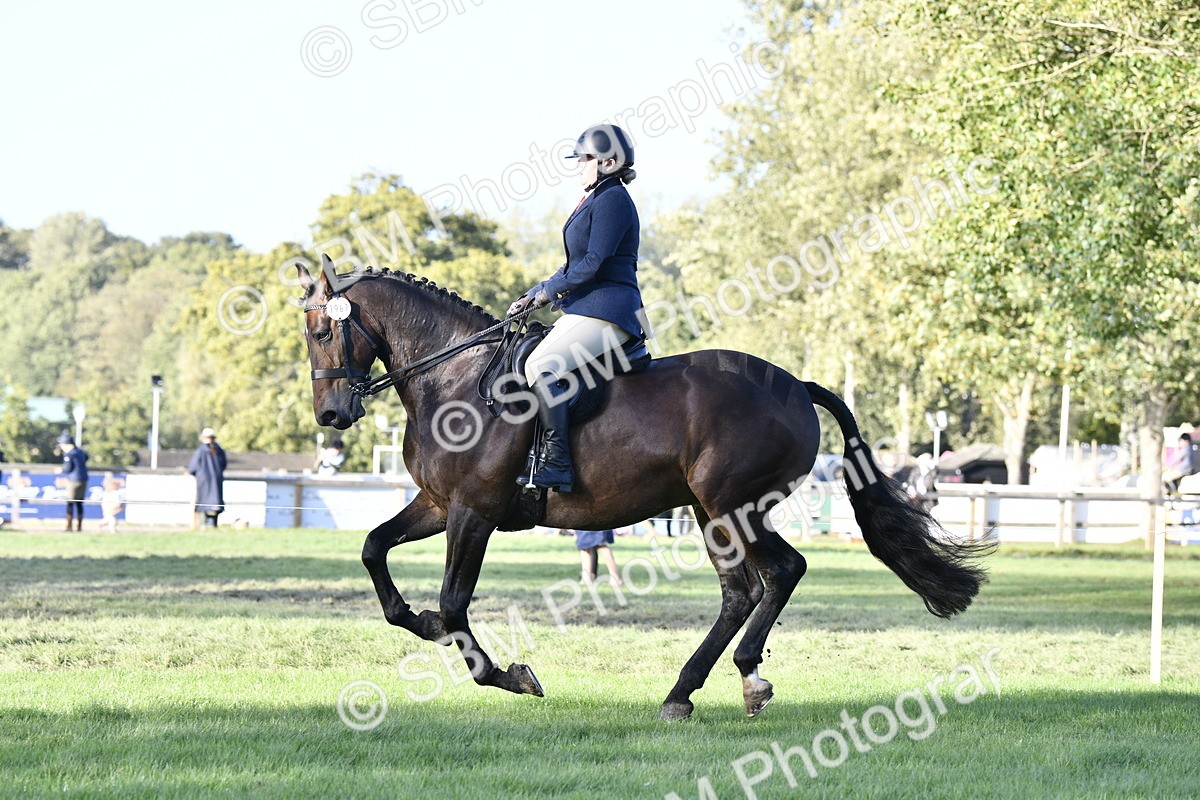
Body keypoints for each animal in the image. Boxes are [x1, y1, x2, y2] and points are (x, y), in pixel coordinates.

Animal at [296, 259, 991, 721]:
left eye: (323, 331)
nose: (332, 415)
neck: (456, 378)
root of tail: (796, 385)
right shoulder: (438, 505)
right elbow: (375, 552)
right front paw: (417, 620)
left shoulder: (473, 511)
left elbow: (454, 604)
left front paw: (510, 675)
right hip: (711, 514)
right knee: (742, 592)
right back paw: (694, 691)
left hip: (731, 507)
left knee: (781, 572)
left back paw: (735, 679)